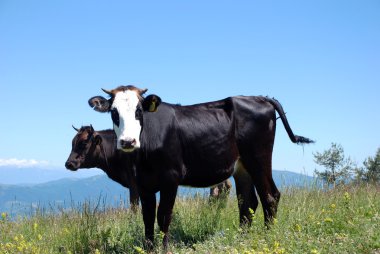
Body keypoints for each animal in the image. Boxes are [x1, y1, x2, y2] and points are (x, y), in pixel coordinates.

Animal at [87, 86, 314, 249]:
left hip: (258, 158)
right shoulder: (142, 183)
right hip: (241, 166)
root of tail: (259, 97)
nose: (128, 141)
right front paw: (149, 248)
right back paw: (242, 239)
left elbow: (164, 216)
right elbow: (147, 218)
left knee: (270, 196)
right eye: (114, 112)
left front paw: (164, 249)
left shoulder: (171, 178)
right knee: (248, 202)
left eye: (139, 110)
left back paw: (268, 237)